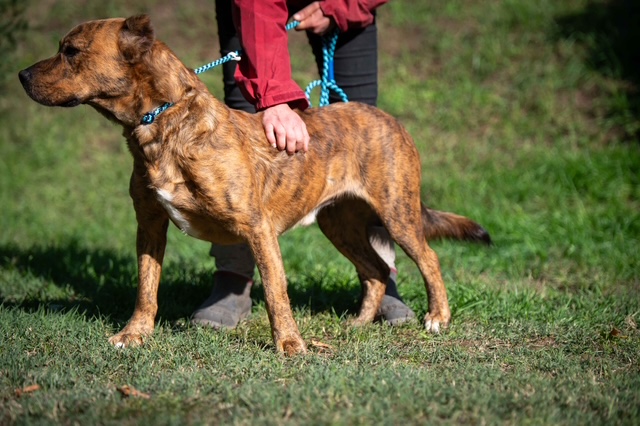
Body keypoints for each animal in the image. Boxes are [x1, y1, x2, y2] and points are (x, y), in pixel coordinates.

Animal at [19, 15, 491, 355]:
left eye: (71, 51)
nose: (21, 75)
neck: (165, 124)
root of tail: (390, 118)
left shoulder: (258, 227)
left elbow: (277, 294)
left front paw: (291, 346)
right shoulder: (150, 224)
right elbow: (145, 287)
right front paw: (134, 336)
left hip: (397, 212)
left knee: (428, 259)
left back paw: (437, 317)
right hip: (338, 223)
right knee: (375, 270)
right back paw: (358, 324)